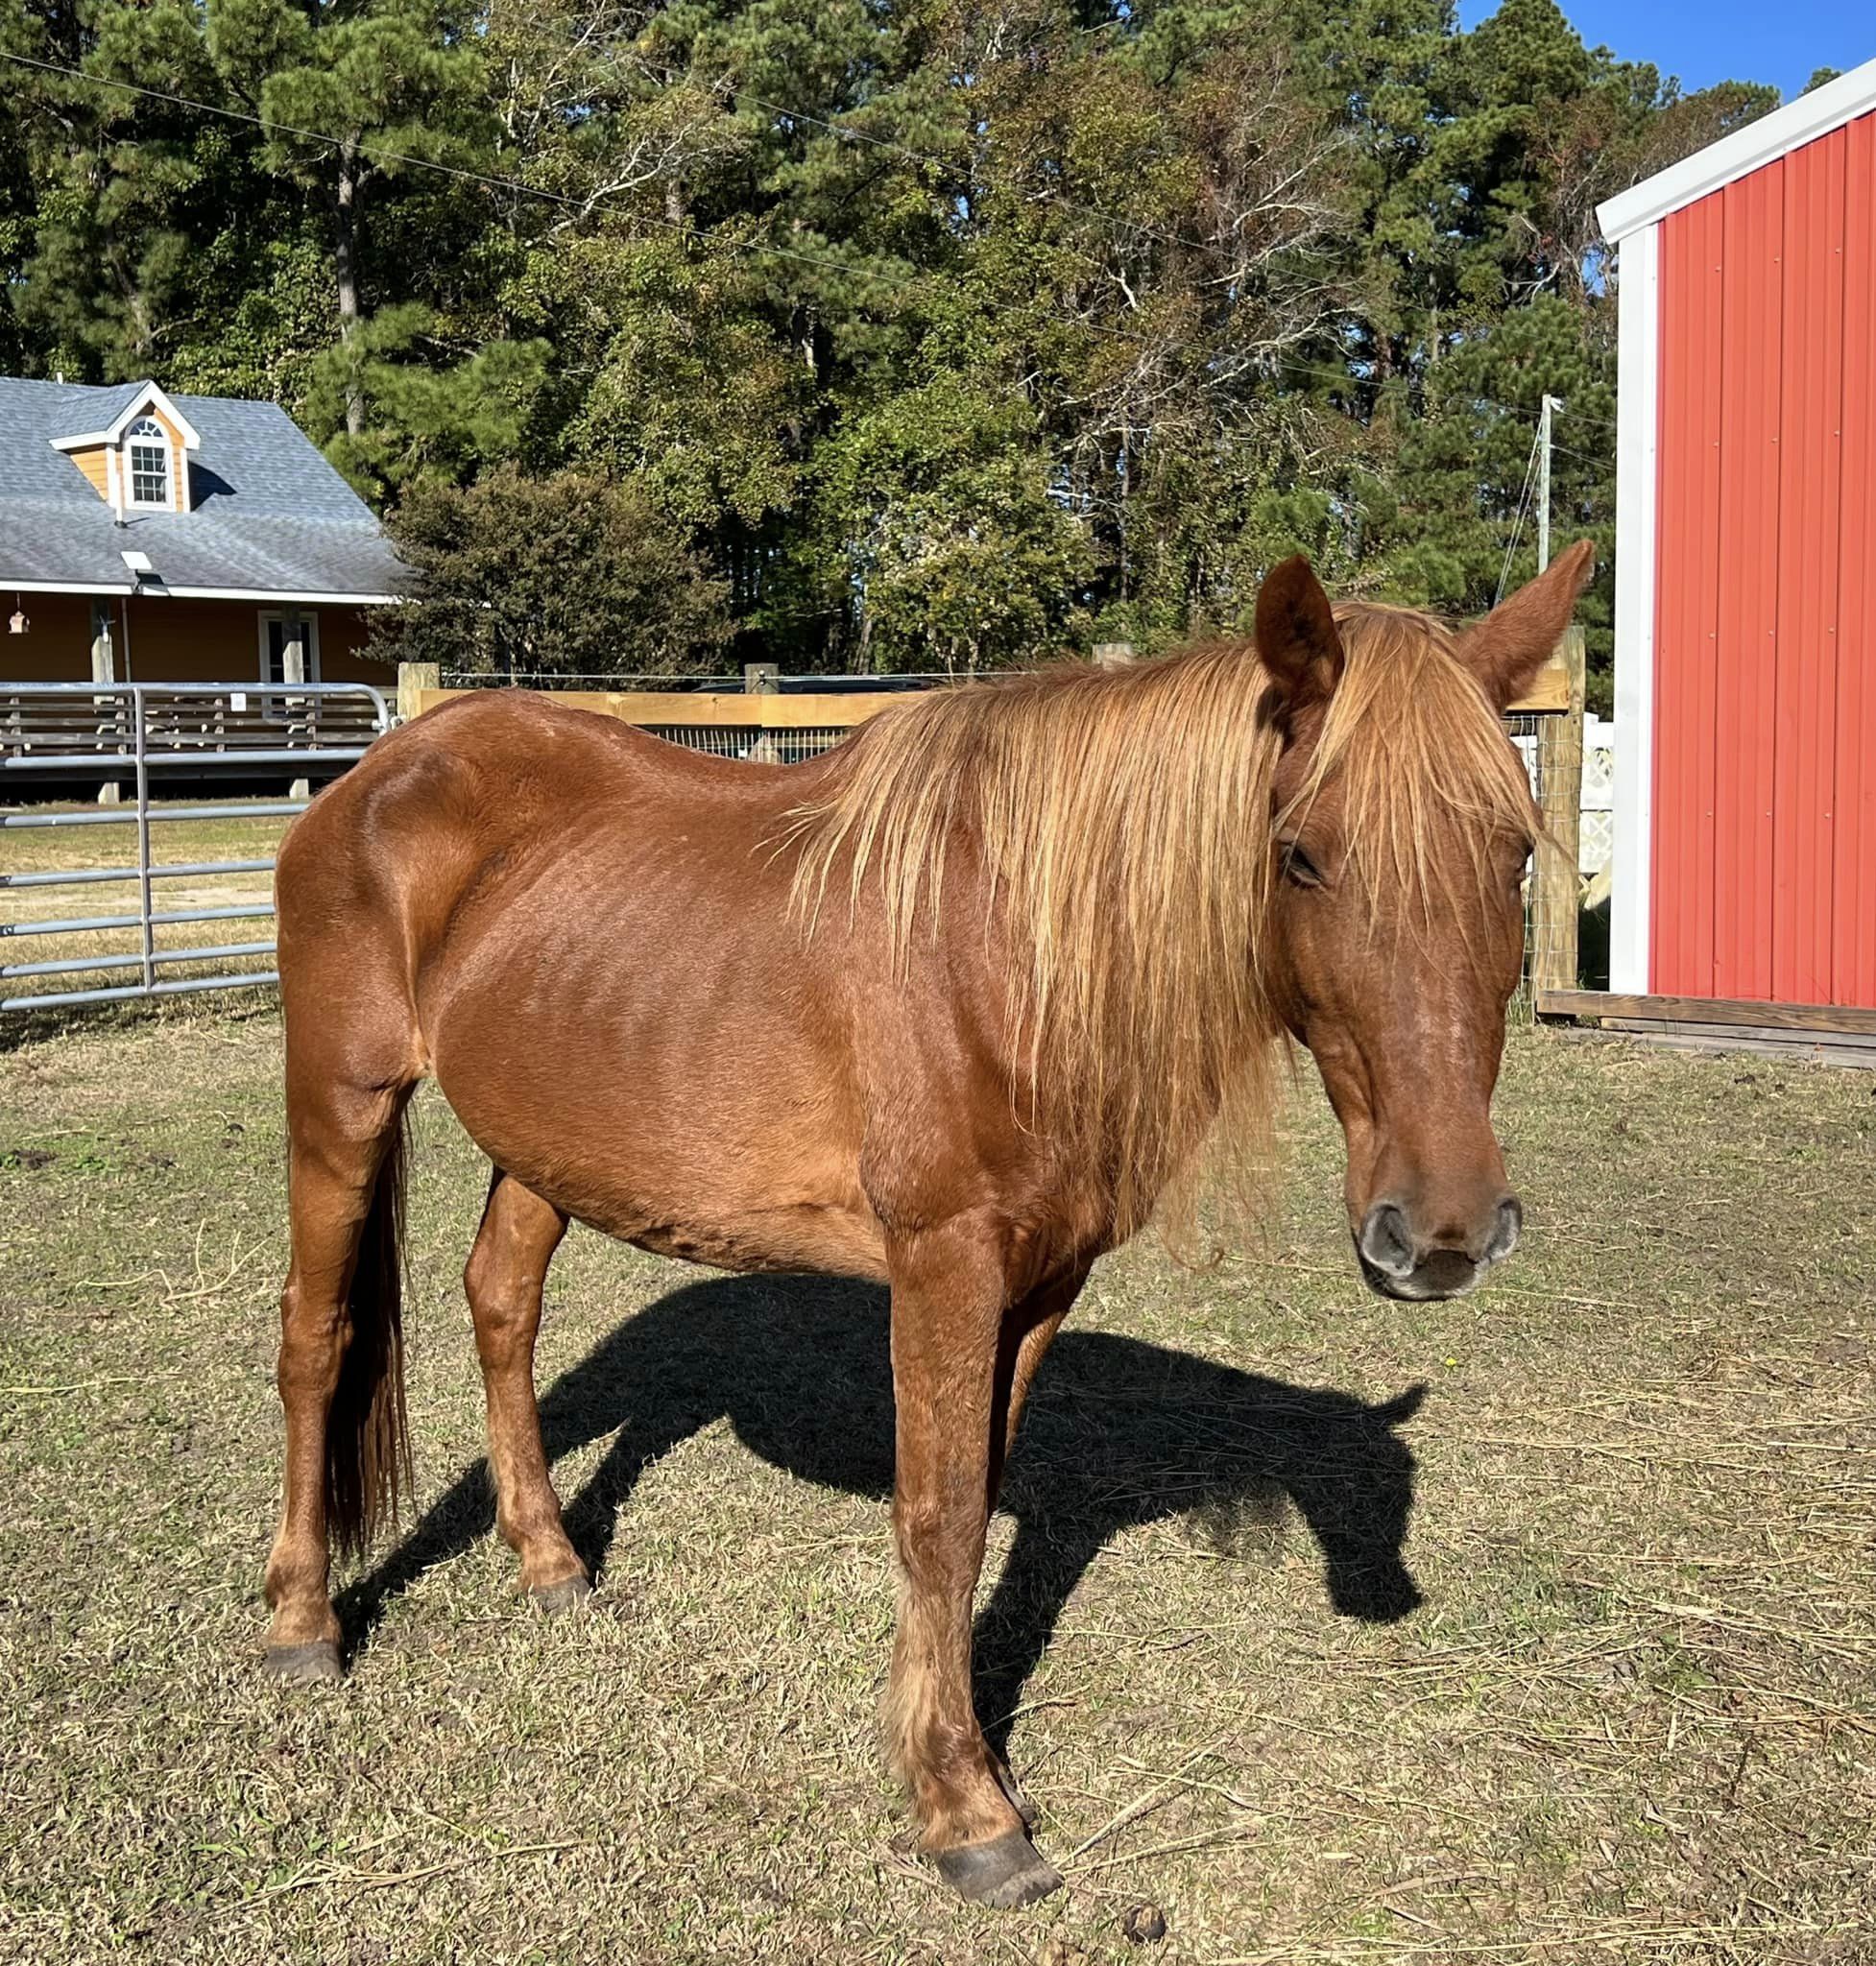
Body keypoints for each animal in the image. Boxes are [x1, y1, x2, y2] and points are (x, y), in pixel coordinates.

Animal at [259, 542, 1580, 1903]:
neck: (1019, 950)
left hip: (548, 1142)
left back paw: (552, 1563)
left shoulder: (1042, 1280)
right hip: (342, 1107)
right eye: (1303, 853)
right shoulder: (944, 1262)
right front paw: (966, 1809)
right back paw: (302, 1623)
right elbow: (937, 1515)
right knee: (316, 1339)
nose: (1444, 1230)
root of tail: (383, 768)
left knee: (501, 1306)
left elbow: (976, 1498)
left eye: (1511, 853)